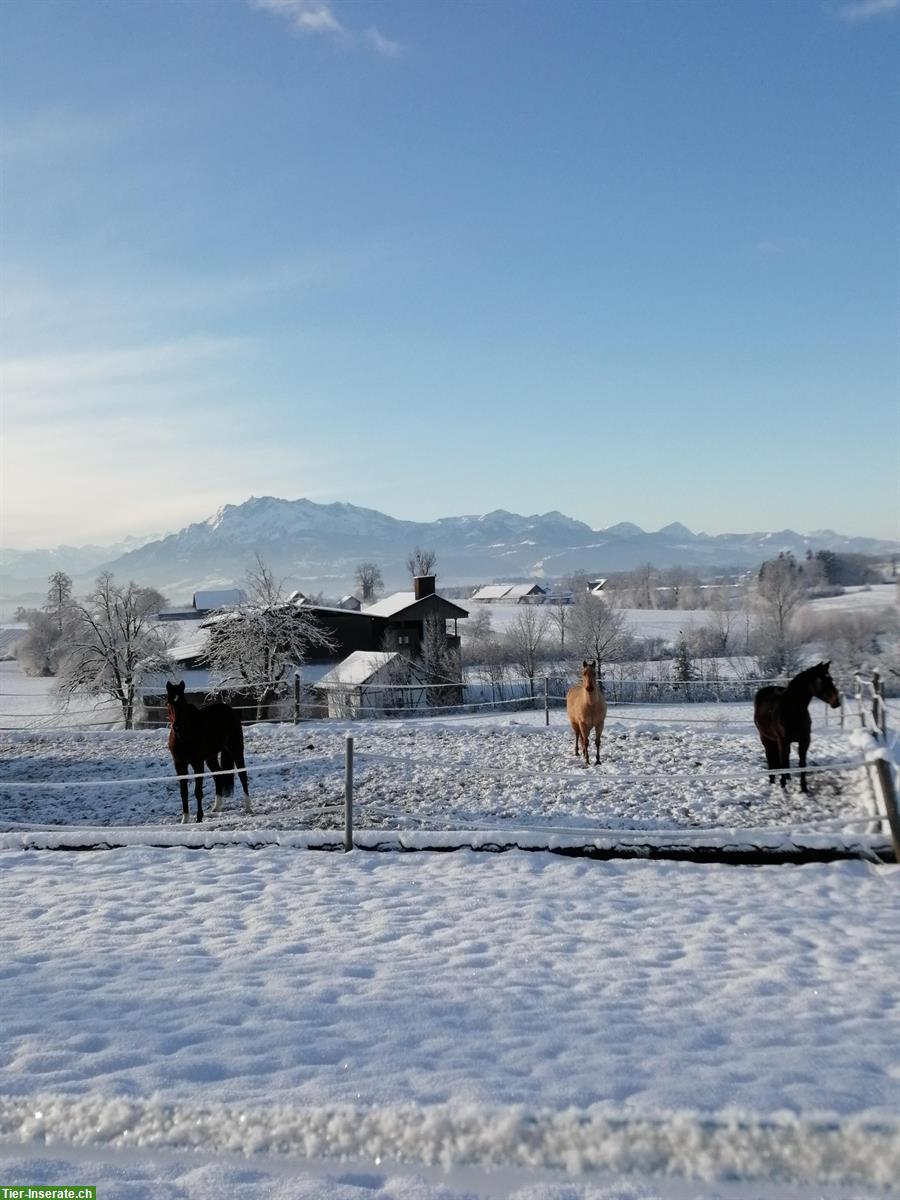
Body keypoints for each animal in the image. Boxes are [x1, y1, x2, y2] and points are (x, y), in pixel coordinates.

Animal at [164, 686, 250, 825]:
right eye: (168, 703)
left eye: (182, 703)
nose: (176, 726)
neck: (183, 737)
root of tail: (230, 710)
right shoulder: (180, 765)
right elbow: (184, 792)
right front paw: (185, 820)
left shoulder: (198, 764)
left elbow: (198, 792)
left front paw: (199, 818)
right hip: (211, 757)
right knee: (218, 775)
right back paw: (216, 807)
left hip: (236, 749)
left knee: (243, 775)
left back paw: (248, 807)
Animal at [758, 662, 844, 792]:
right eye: (820, 680)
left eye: (831, 679)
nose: (836, 702)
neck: (792, 711)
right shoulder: (782, 741)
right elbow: (782, 762)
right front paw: (783, 786)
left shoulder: (804, 741)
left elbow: (802, 764)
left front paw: (803, 787)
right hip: (765, 738)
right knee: (771, 757)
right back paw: (772, 780)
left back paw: (787, 777)